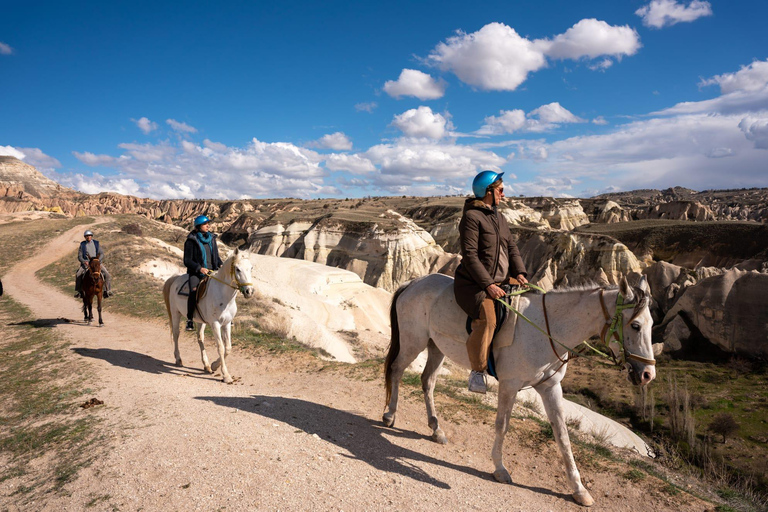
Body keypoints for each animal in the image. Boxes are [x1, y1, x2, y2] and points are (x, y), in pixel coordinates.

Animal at [162, 248, 255, 384]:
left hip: (200, 321)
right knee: (176, 334)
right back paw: (178, 359)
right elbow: (221, 347)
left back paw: (206, 365)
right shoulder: (215, 324)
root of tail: (175, 279)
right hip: (175, 314)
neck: (224, 296)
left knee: (200, 338)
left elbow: (228, 348)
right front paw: (226, 375)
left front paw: (214, 366)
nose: (249, 291)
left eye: (251, 268)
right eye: (237, 269)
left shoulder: (227, 324)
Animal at [383, 273, 656, 507]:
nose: (647, 375)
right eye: (635, 326)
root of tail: (414, 282)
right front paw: (500, 468)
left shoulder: (550, 388)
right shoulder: (510, 385)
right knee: (396, 370)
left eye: (652, 324)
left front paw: (579, 489)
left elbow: (563, 436)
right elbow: (502, 425)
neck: (547, 329)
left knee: (427, 382)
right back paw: (390, 415)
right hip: (413, 341)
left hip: (436, 347)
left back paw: (436, 429)